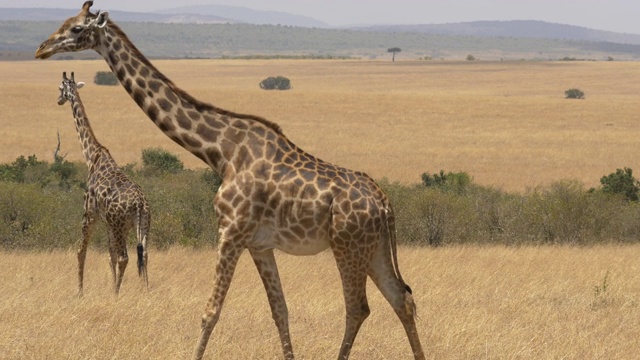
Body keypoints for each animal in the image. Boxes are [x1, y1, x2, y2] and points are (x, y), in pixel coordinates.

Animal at [57, 70, 150, 296]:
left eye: (60, 88)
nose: (59, 100)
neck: (92, 156)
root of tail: (140, 204)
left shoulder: (89, 214)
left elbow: (81, 251)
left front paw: (80, 292)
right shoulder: (108, 222)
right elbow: (110, 256)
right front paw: (109, 286)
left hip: (120, 225)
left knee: (126, 257)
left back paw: (117, 293)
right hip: (141, 224)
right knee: (144, 255)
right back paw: (146, 291)